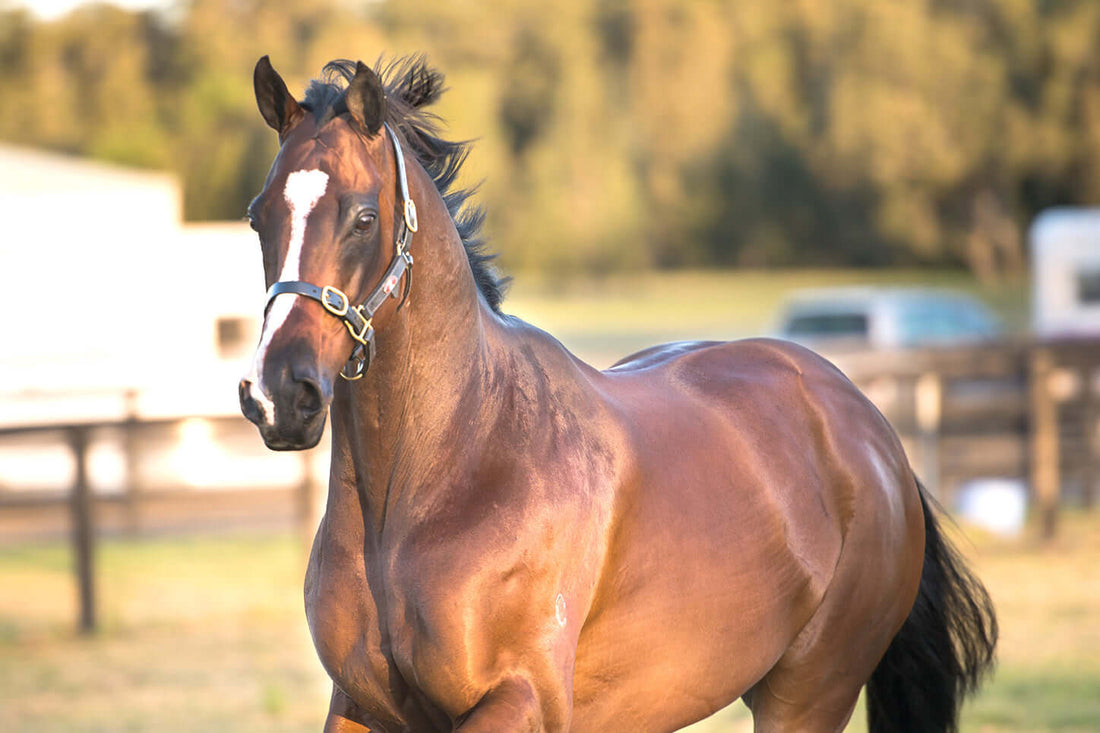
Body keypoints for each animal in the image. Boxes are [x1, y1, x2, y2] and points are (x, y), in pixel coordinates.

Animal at [238, 55, 997, 733]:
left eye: (364, 217)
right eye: (258, 217)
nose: (279, 394)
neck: (442, 473)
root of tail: (872, 433)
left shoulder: (522, 701)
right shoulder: (361, 705)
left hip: (808, 696)